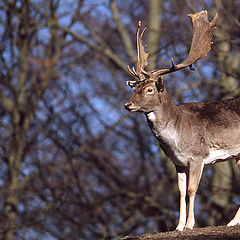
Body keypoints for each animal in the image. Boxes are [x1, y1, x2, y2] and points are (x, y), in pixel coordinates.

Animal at [124, 10, 240, 232]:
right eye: (135, 88)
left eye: (149, 89)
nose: (127, 104)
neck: (176, 137)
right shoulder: (178, 162)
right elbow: (181, 191)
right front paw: (178, 226)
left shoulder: (198, 156)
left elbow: (193, 189)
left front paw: (190, 225)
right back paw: (233, 221)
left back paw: (232, 221)